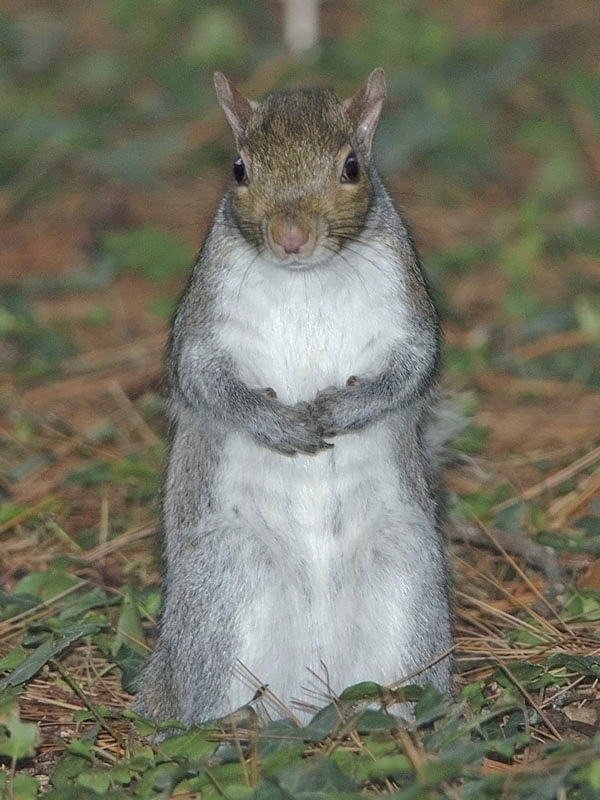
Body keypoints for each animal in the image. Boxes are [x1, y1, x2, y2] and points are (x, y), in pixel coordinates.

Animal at [135, 69, 454, 728]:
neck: (305, 279)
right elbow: (205, 380)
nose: (289, 237)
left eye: (352, 167)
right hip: (224, 583)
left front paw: (341, 410)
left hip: (408, 576)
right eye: (238, 168)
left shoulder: (407, 307)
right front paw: (277, 424)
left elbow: (410, 369)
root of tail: (314, 690)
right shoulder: (204, 324)